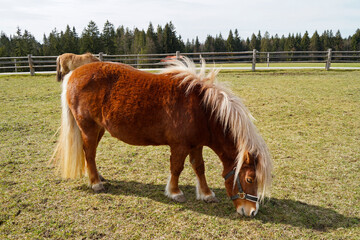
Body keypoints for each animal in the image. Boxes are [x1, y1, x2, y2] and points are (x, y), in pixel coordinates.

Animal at [50, 57, 270, 217]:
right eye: (250, 179)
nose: (252, 212)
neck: (201, 108)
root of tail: (73, 74)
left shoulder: (196, 144)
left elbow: (199, 167)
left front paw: (206, 194)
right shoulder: (180, 145)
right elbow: (177, 168)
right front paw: (175, 192)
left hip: (99, 128)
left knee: (90, 154)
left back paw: (97, 177)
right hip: (88, 127)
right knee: (89, 153)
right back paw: (96, 183)